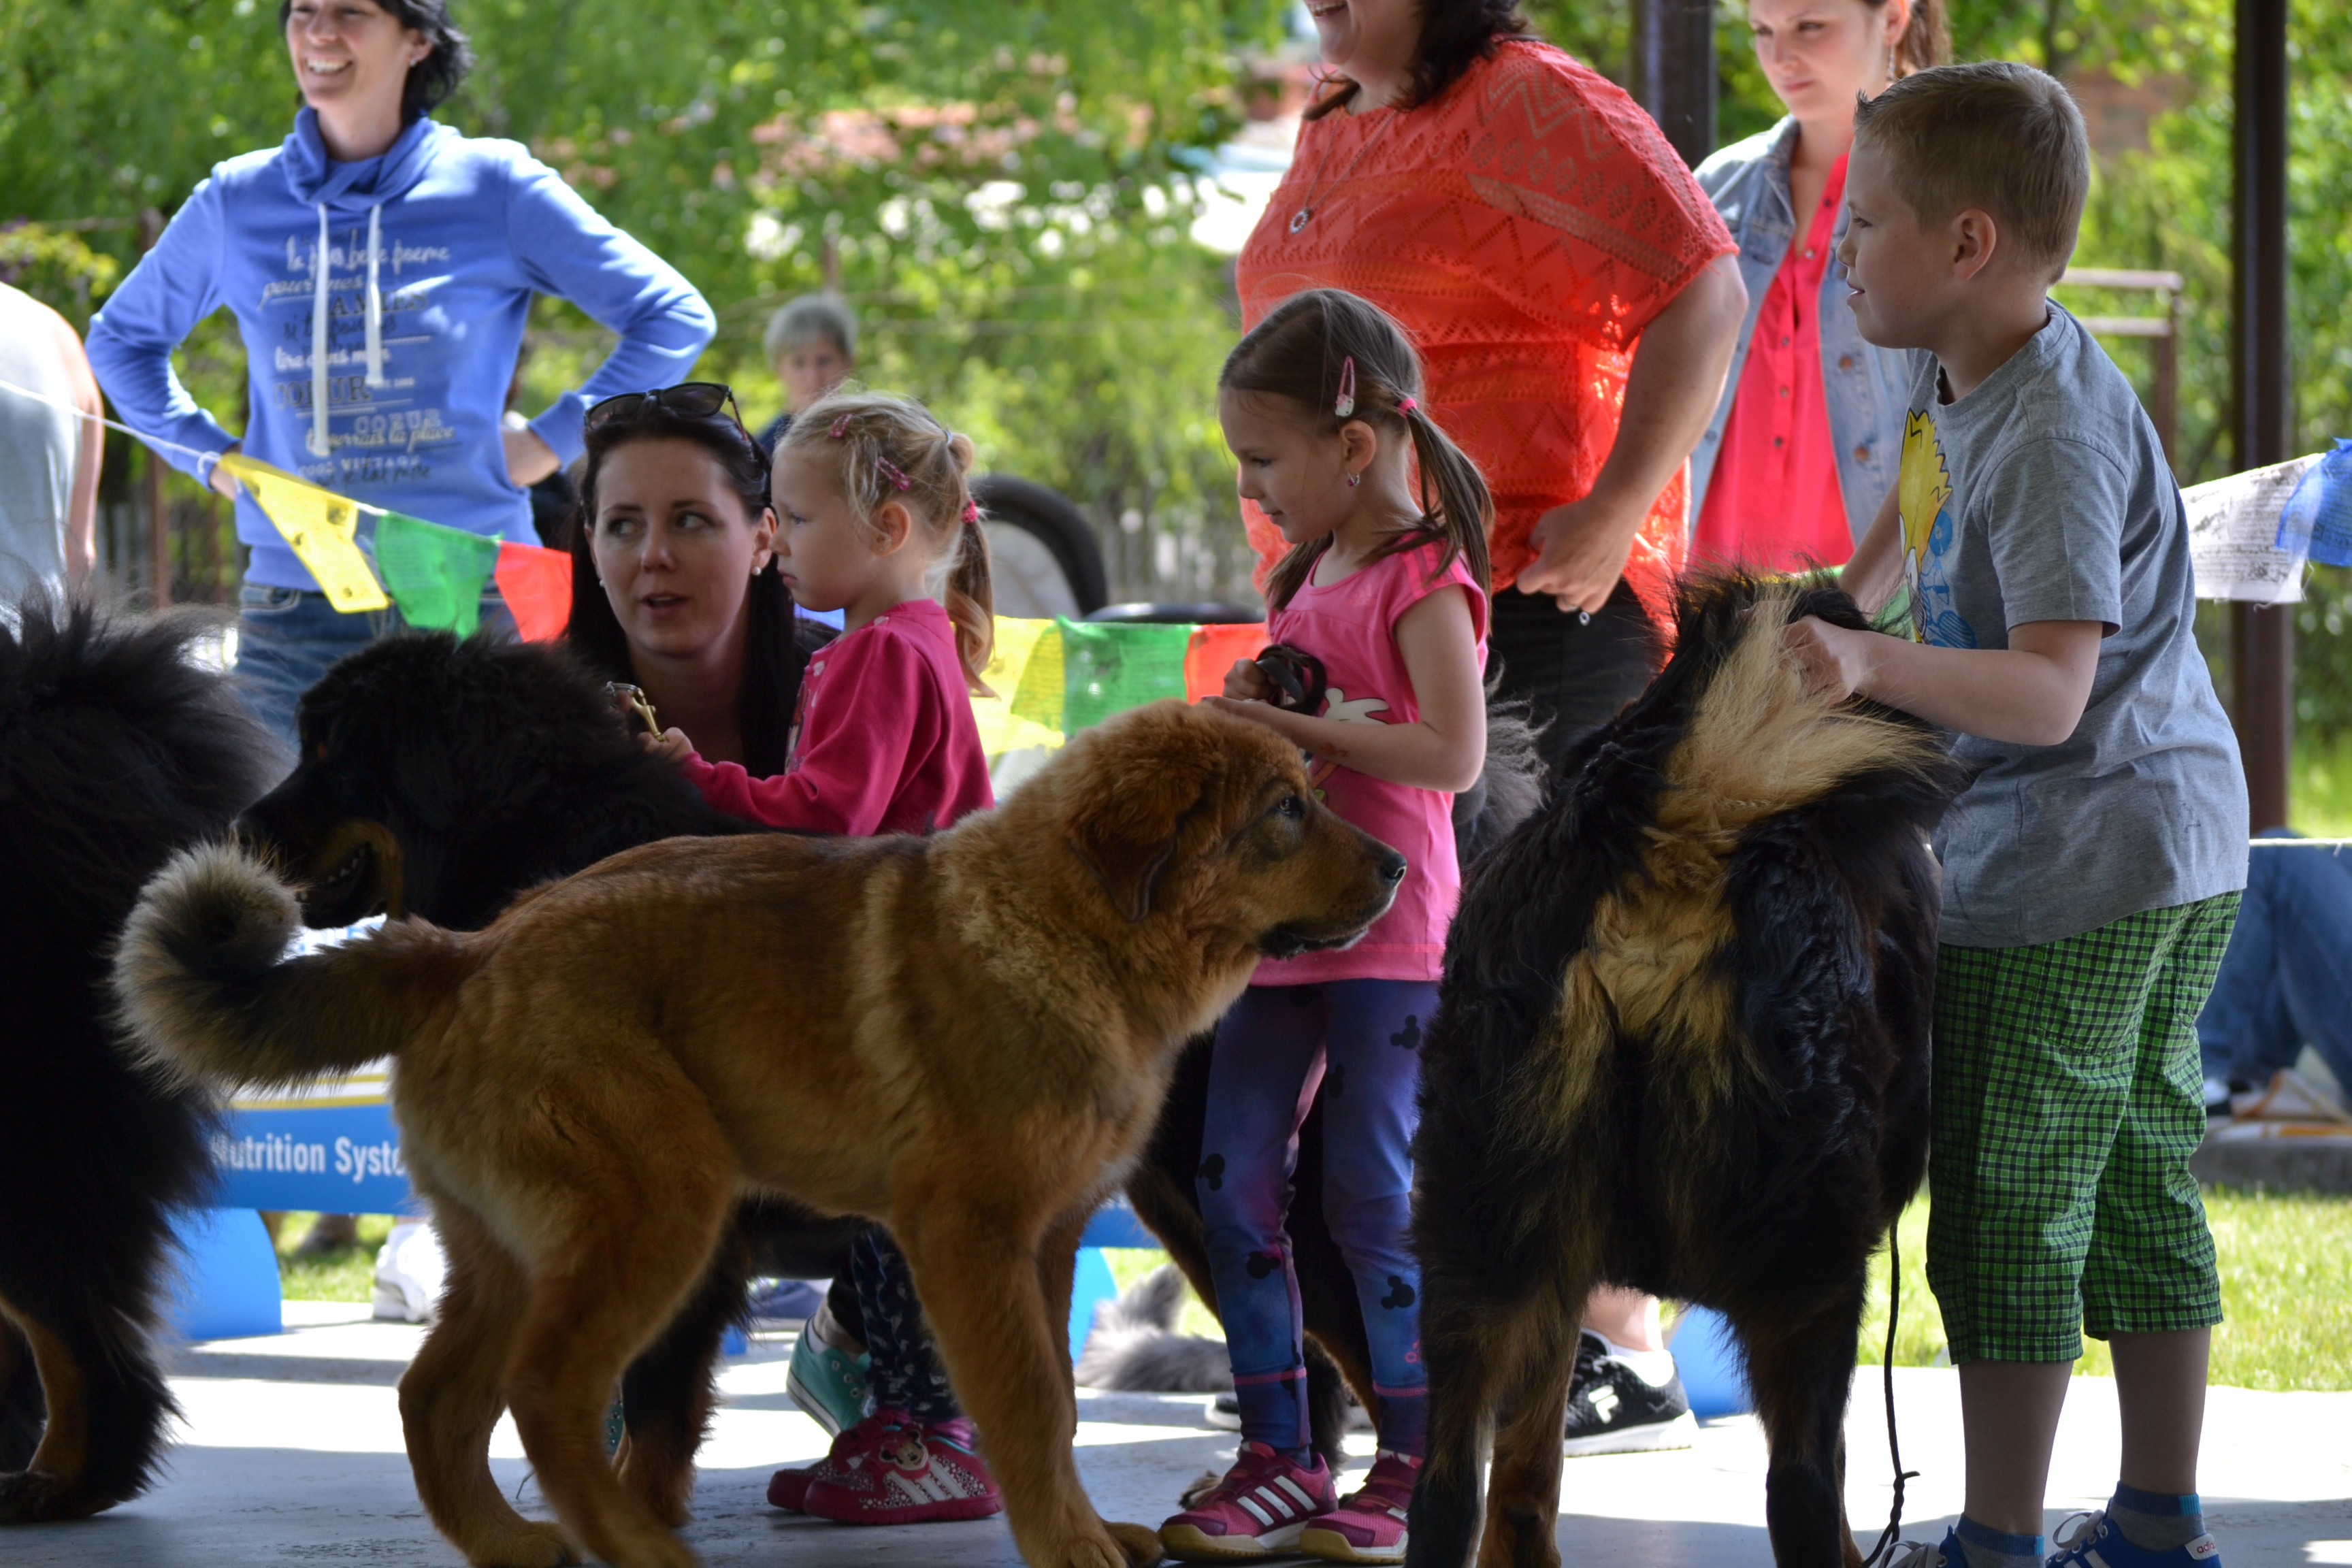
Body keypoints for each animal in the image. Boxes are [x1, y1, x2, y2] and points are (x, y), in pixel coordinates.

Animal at [1392, 581, 1966, 1568]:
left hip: (1486, 1241)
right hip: (1806, 1270)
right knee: (1803, 1490)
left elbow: (1526, 1472)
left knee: (1449, 1490)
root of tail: (1691, 832)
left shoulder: (1556, 1275)